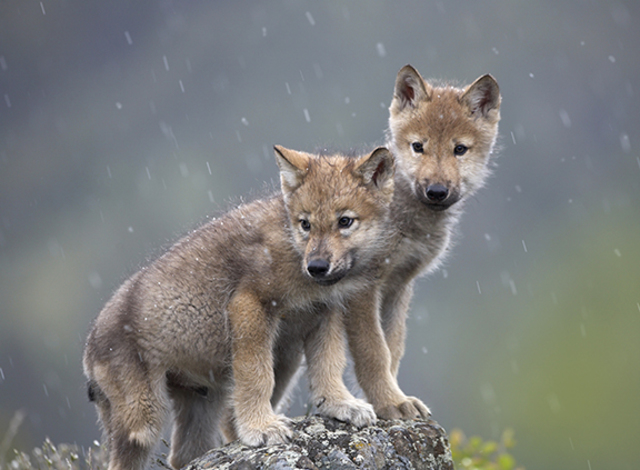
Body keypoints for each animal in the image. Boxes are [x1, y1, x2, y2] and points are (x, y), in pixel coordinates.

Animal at [83, 145, 395, 470]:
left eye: (345, 221)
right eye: (305, 224)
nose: (317, 267)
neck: (293, 251)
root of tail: (89, 347)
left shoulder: (324, 315)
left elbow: (329, 366)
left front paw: (341, 405)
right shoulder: (249, 305)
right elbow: (256, 376)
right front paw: (262, 428)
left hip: (203, 404)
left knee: (184, 455)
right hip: (143, 423)